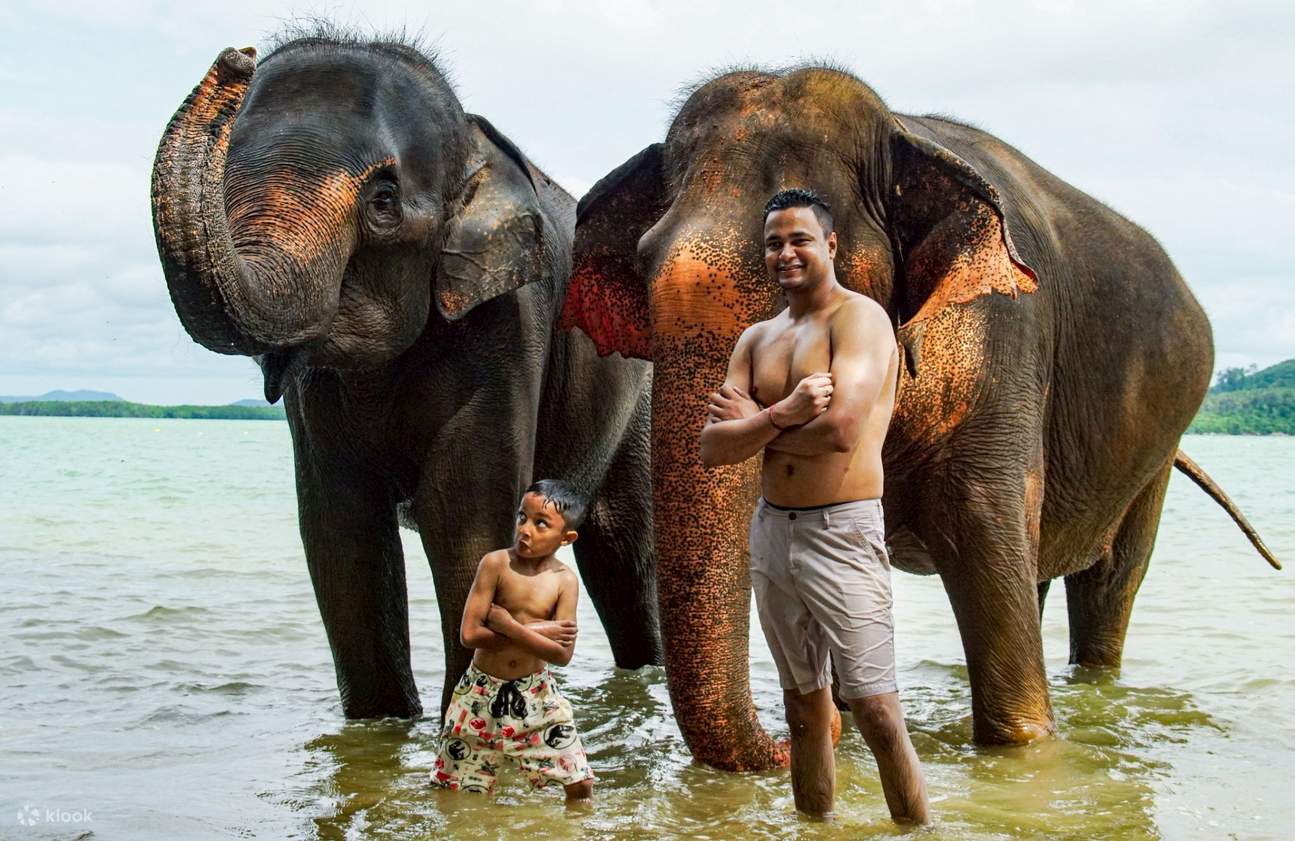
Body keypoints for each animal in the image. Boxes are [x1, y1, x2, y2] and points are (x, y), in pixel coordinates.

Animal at [150, 30, 661, 720]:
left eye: (383, 201)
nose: (238, 55)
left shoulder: (504, 324)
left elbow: (463, 516)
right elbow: (340, 532)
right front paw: (384, 723)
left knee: (620, 551)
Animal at [561, 65, 1281, 770]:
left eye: (804, 264)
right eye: (644, 261)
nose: (792, 740)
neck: (899, 130)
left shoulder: (1002, 344)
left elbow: (979, 523)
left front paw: (1021, 742)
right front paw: (844, 715)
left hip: (1156, 444)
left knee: (1108, 580)